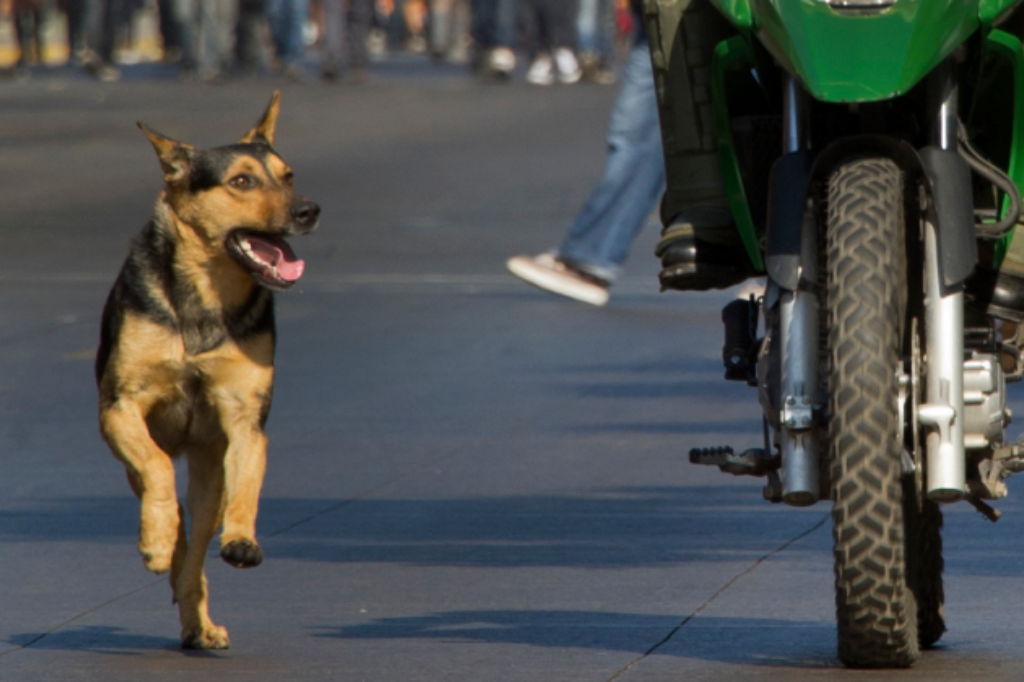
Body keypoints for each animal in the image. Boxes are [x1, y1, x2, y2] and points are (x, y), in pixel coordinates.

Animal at [96, 91, 319, 647]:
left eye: (288, 175)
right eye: (241, 182)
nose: (309, 210)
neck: (207, 292)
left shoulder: (244, 417)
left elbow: (248, 484)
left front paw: (241, 539)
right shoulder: (120, 408)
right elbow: (155, 466)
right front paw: (155, 541)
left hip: (208, 474)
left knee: (197, 543)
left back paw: (198, 614)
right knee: (165, 496)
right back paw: (161, 541)